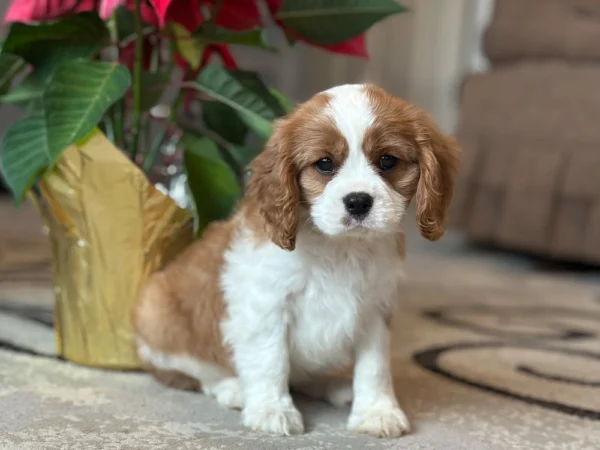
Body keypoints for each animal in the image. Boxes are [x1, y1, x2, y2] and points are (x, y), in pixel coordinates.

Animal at [131, 82, 460, 438]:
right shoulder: (267, 307)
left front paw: (376, 411)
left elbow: (374, 366)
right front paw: (272, 409)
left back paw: (334, 386)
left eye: (387, 161)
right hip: (157, 314)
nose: (358, 201)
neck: (340, 247)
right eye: (325, 164)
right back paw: (232, 388)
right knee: (189, 372)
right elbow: (271, 359)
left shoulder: (375, 309)